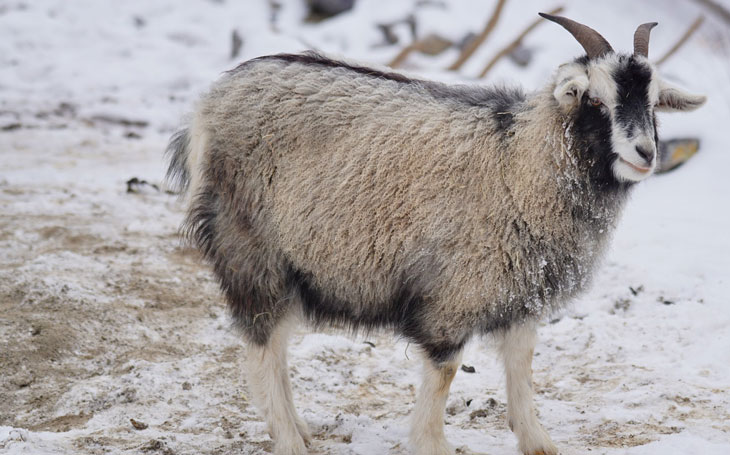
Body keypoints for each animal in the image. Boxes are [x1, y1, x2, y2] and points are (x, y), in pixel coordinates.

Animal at [166, 13, 705, 455]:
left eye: (654, 103)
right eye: (593, 98)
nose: (645, 153)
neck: (518, 162)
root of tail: (206, 108)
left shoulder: (521, 294)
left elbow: (522, 368)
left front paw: (539, 443)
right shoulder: (454, 294)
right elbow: (444, 372)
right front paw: (431, 443)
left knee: (273, 349)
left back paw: (299, 430)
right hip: (252, 251)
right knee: (261, 350)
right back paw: (289, 441)